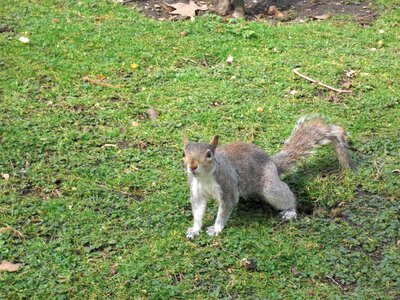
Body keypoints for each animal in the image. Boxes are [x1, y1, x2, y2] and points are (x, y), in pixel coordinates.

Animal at [183, 115, 352, 239]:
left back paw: (290, 211)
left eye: (209, 155)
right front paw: (195, 229)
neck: (204, 177)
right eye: (184, 153)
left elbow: (223, 212)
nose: (192, 166)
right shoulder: (196, 191)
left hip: (270, 187)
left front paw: (216, 229)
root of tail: (272, 162)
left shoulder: (227, 187)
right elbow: (198, 211)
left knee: (285, 195)